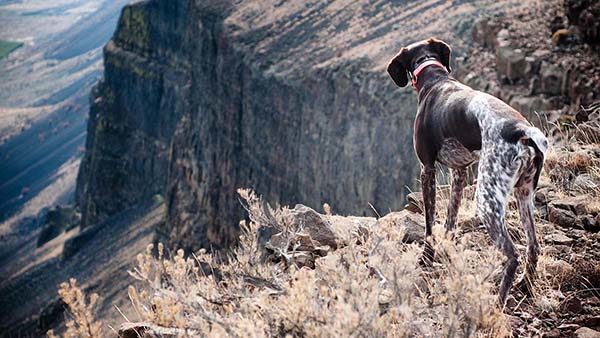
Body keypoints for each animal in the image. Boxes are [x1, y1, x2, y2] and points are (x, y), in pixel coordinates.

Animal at [390, 37, 548, 306]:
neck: (434, 77)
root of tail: (523, 132)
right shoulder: (459, 172)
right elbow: (450, 220)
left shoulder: (427, 169)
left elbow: (430, 224)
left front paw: (427, 258)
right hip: (524, 194)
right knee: (533, 246)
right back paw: (526, 286)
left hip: (487, 200)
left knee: (513, 255)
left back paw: (498, 303)